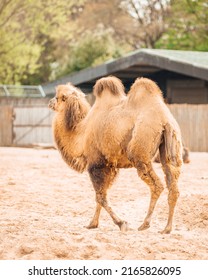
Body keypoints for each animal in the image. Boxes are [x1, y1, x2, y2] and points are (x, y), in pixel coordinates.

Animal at [48, 76, 182, 234]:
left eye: (58, 97)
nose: (50, 102)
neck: (81, 133)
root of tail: (164, 120)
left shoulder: (96, 164)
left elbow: (101, 197)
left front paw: (121, 223)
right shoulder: (111, 165)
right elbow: (101, 195)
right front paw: (92, 224)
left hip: (139, 152)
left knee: (157, 185)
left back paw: (145, 224)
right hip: (170, 149)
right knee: (173, 186)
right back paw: (167, 228)